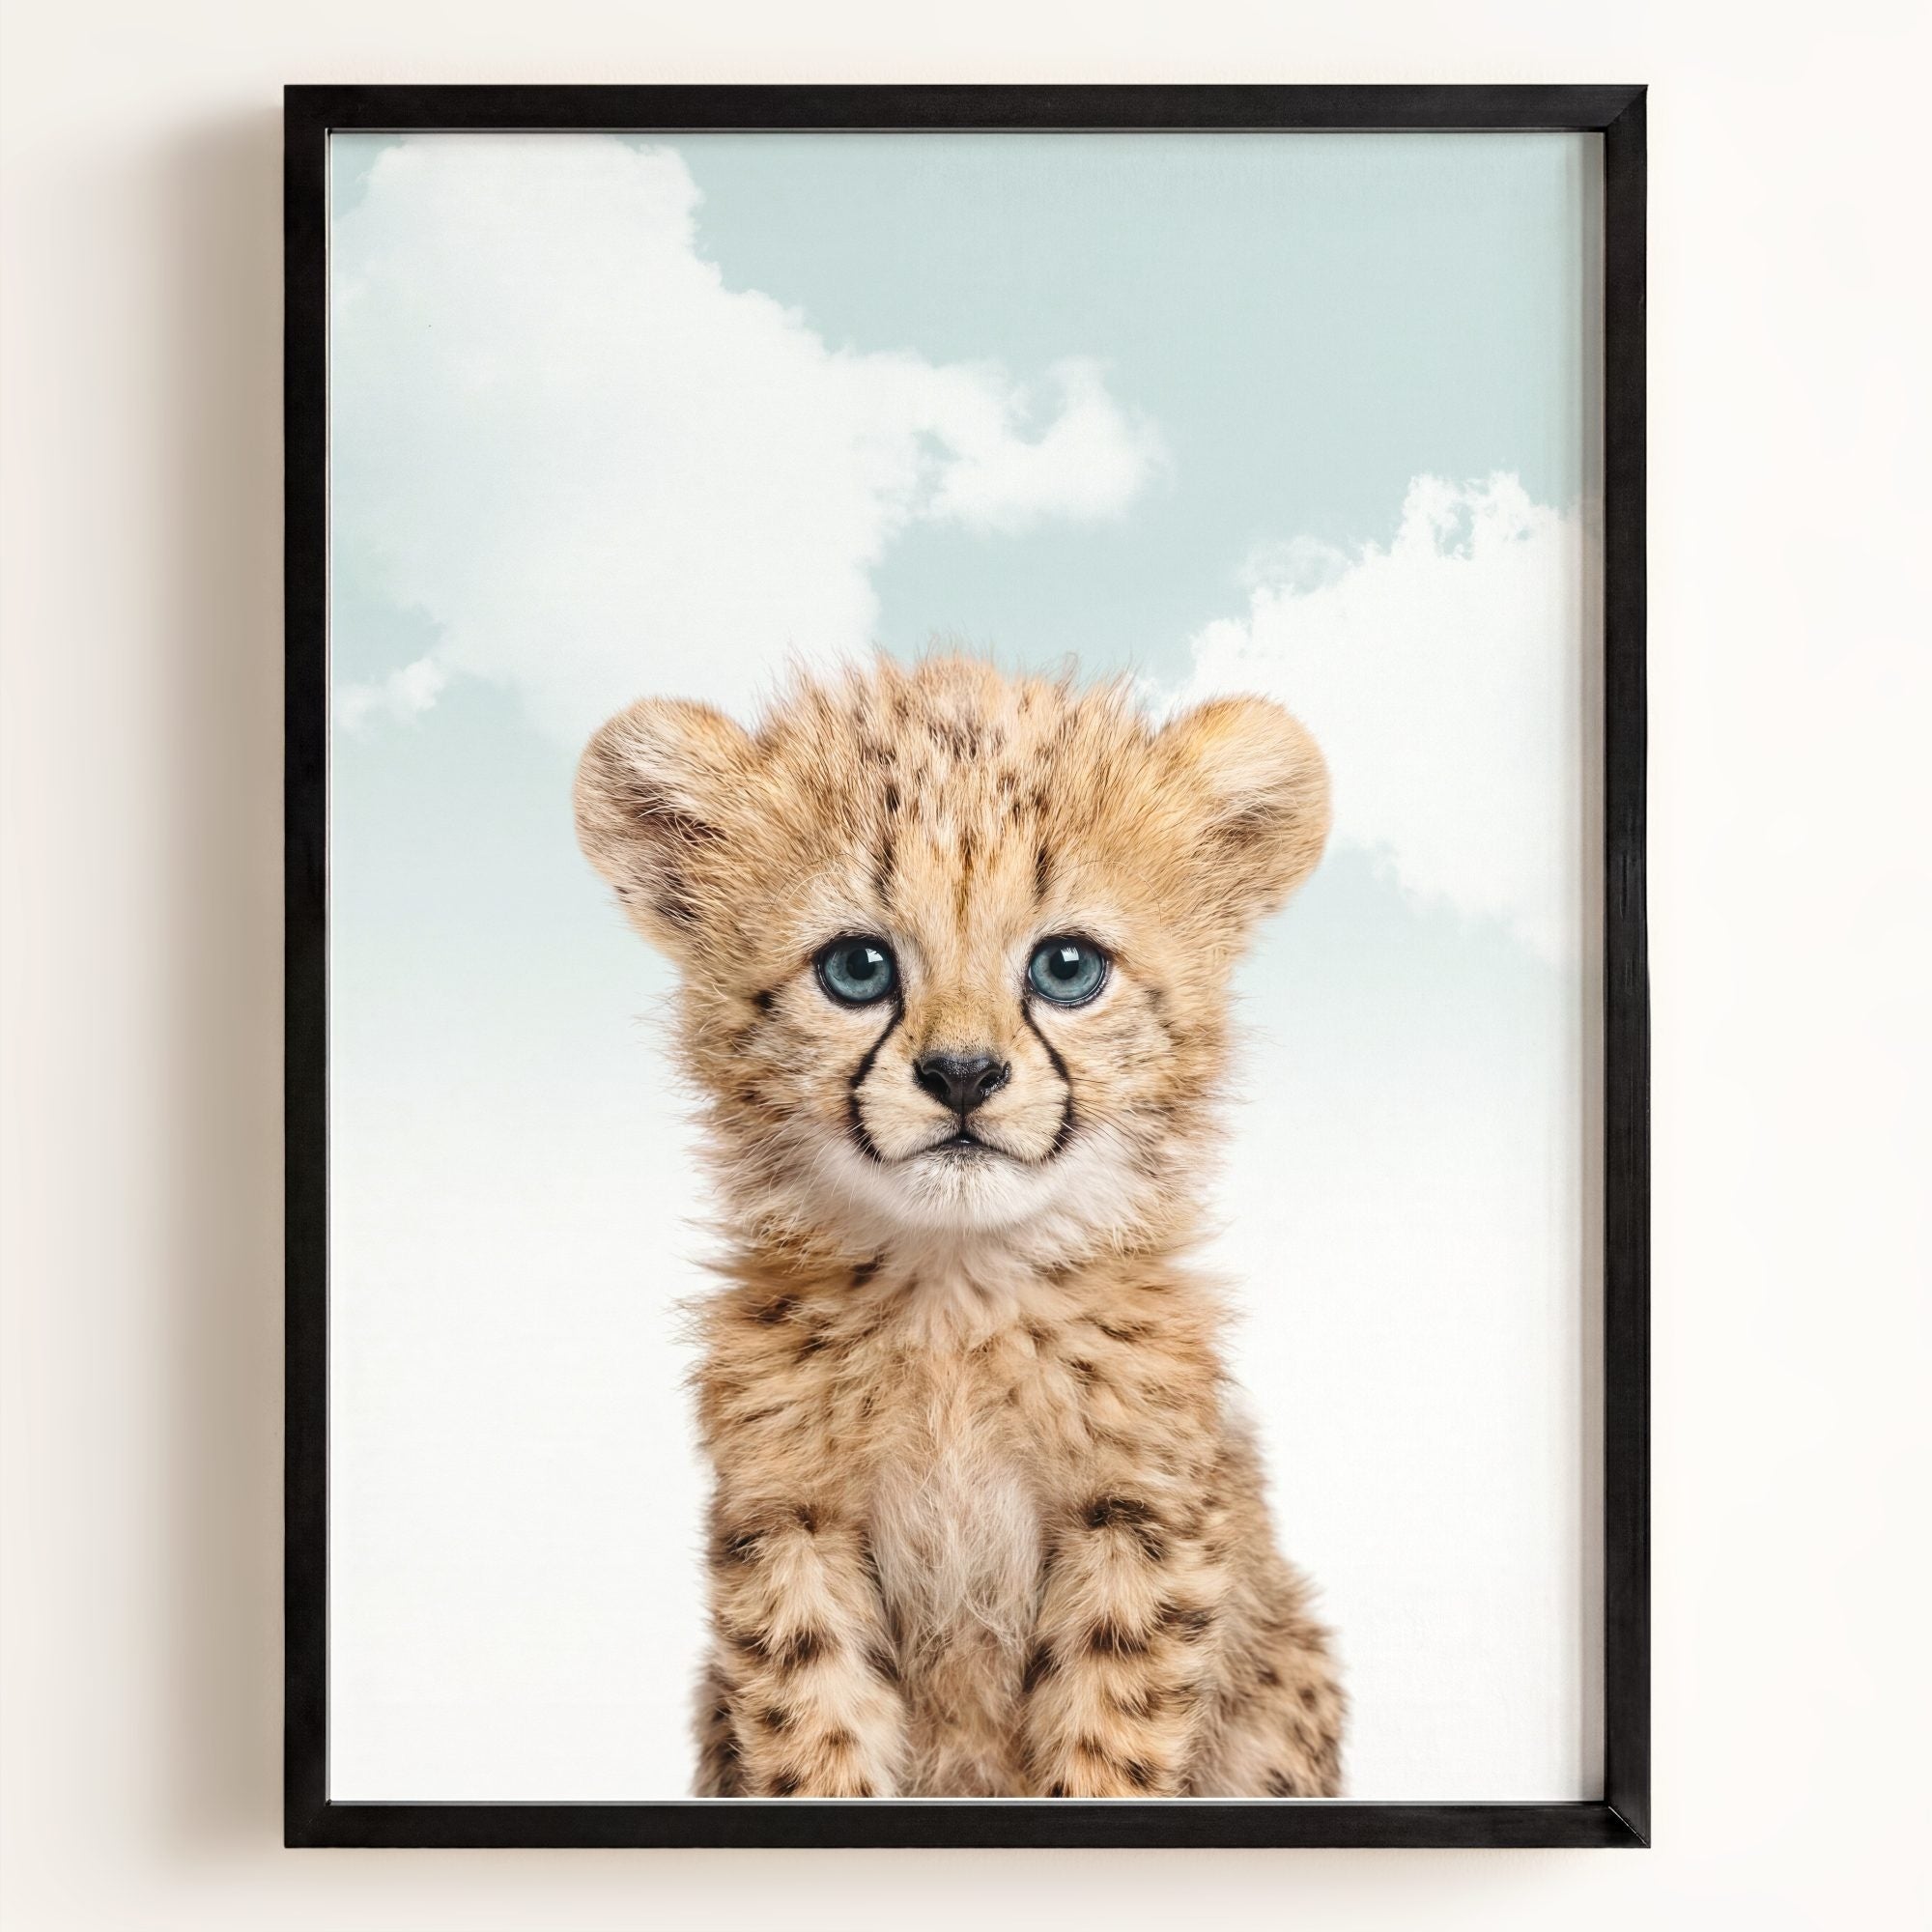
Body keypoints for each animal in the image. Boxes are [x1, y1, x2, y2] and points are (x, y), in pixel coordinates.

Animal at [575, 653, 1344, 1798]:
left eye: (1067, 967)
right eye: (857, 967)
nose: (963, 1075)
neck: (956, 1292)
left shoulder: (1137, 1518)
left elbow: (1108, 1739)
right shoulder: (791, 1522)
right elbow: (813, 1733)